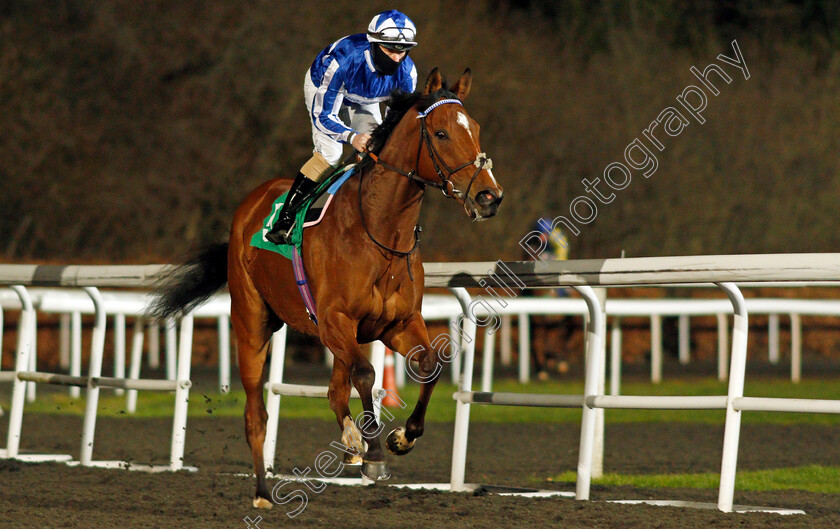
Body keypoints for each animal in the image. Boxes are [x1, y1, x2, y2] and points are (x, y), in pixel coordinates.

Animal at [150, 68, 502, 506]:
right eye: (440, 133)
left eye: (475, 128)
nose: (489, 196)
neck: (379, 230)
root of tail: (249, 205)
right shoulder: (336, 319)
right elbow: (366, 374)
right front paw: (375, 454)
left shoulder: (398, 323)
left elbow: (430, 366)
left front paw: (401, 438)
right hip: (252, 323)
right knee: (255, 413)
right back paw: (263, 490)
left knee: (335, 391)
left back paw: (350, 441)